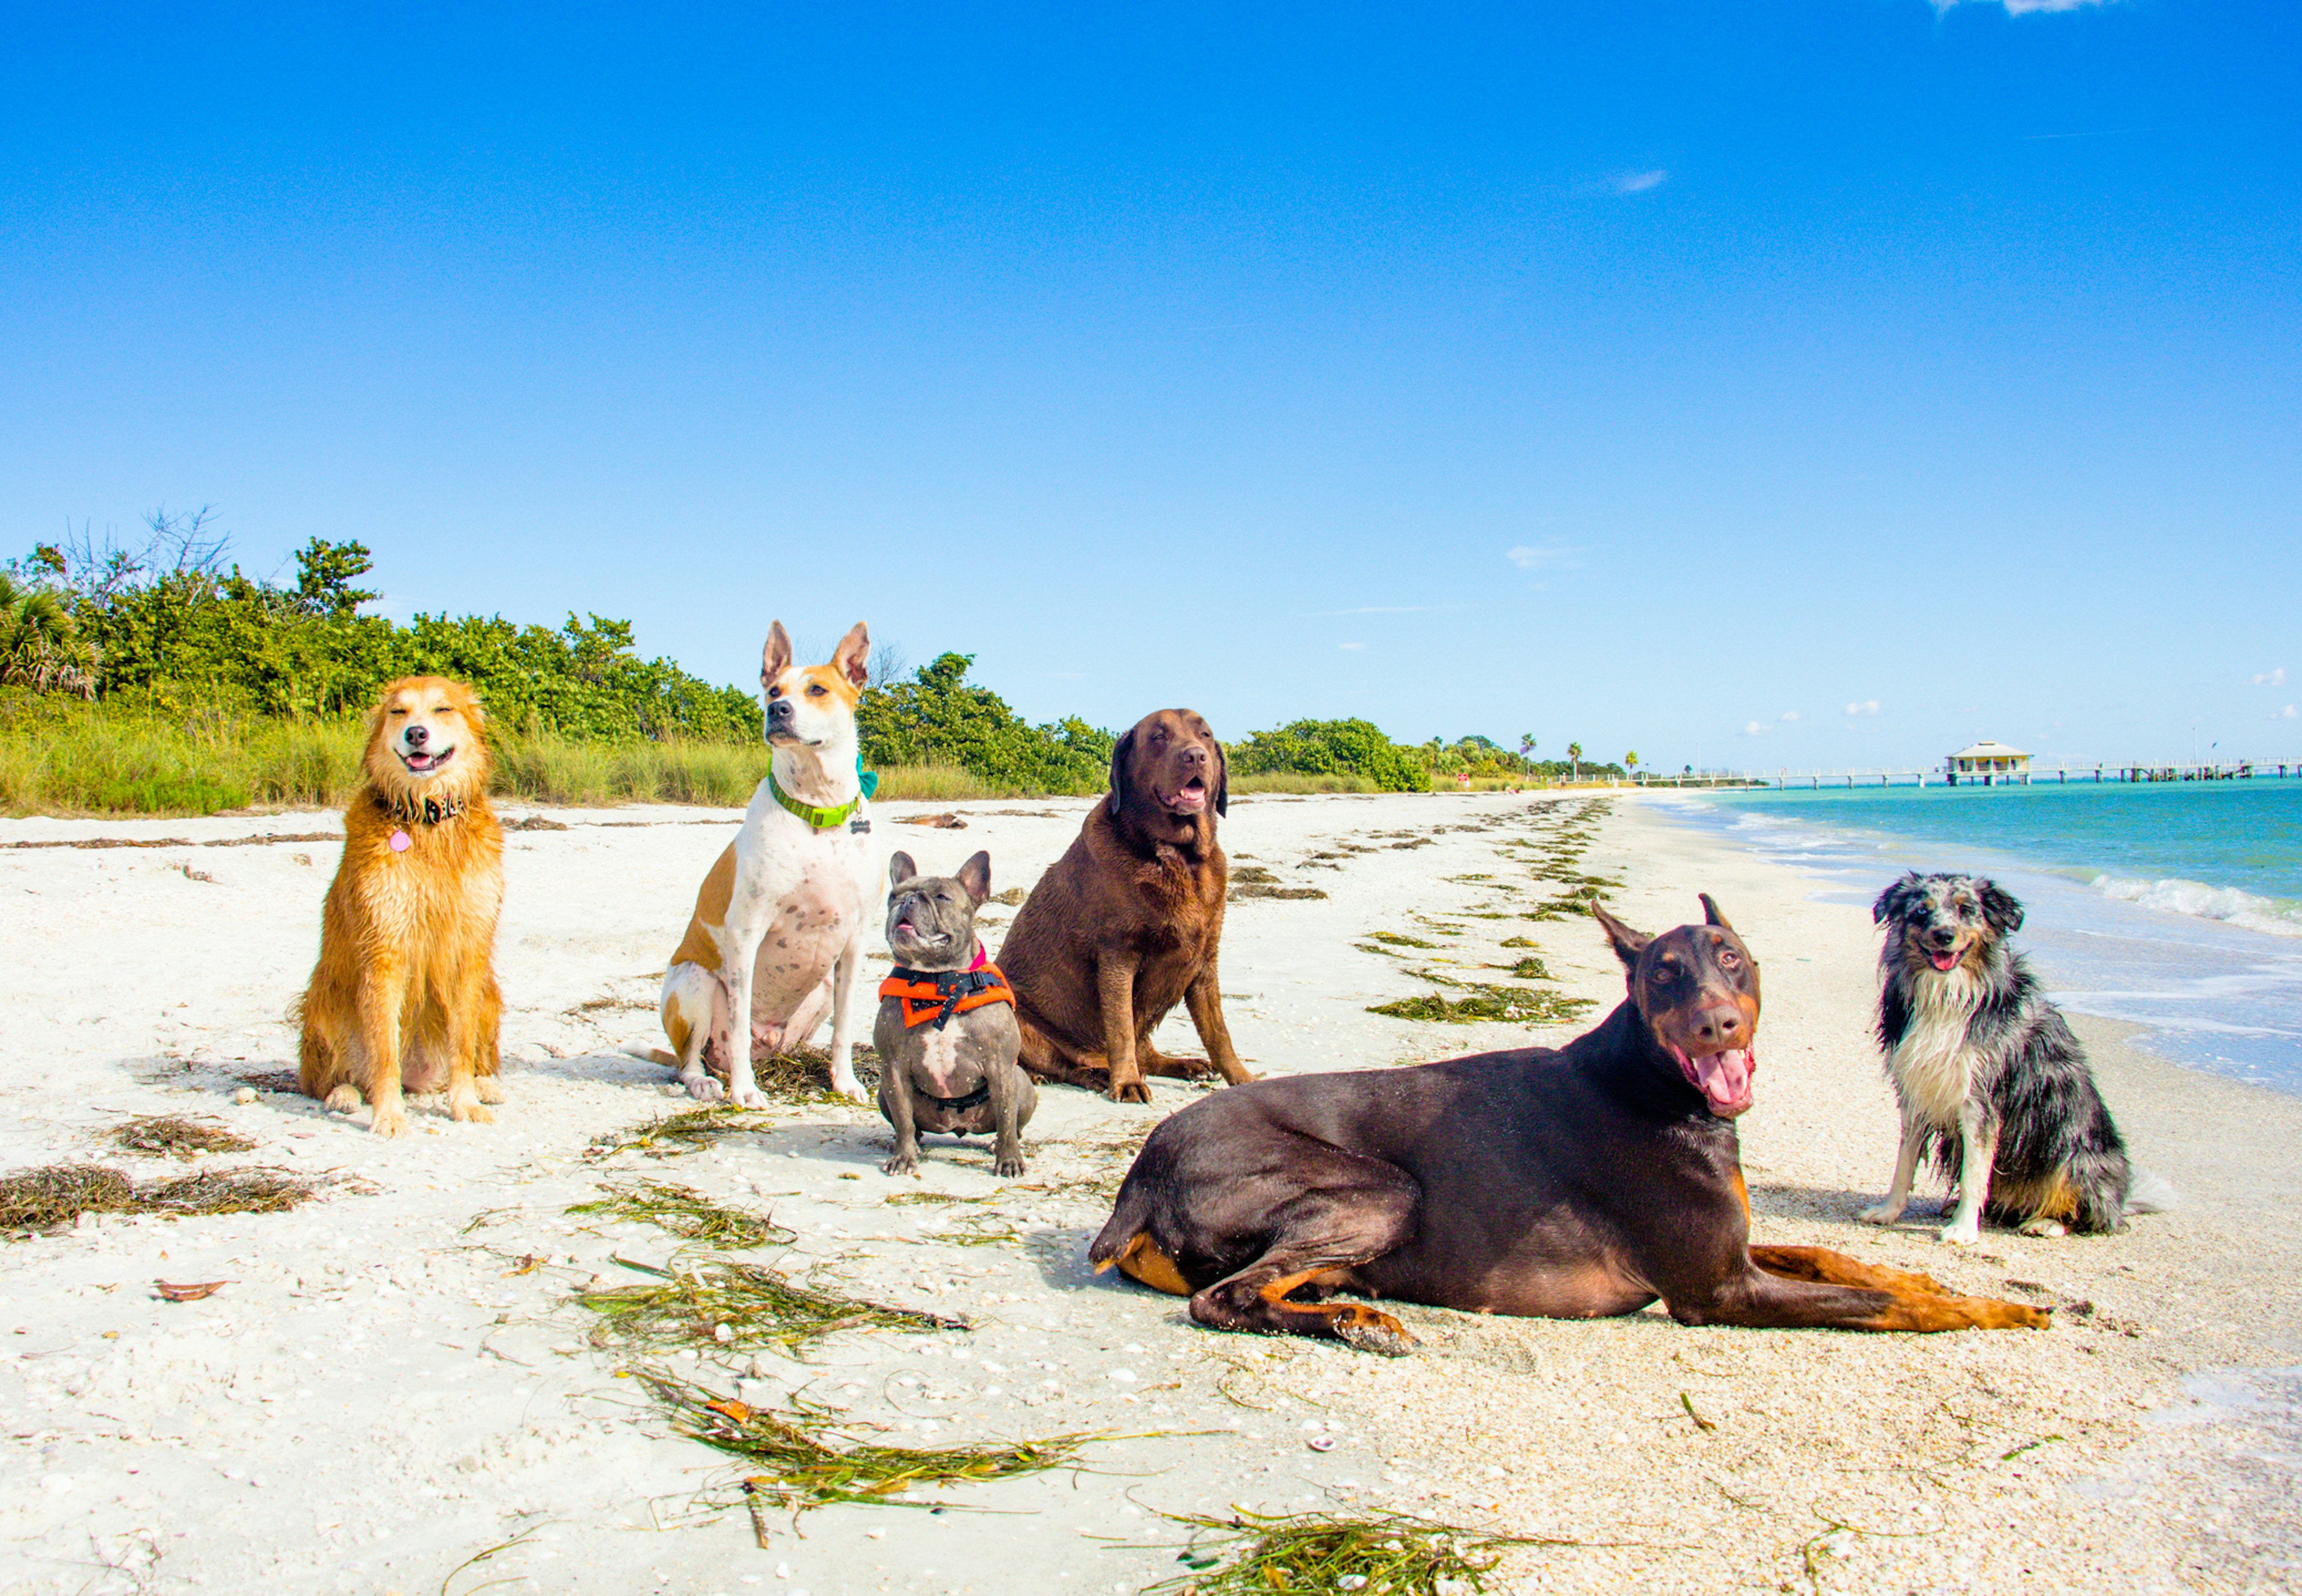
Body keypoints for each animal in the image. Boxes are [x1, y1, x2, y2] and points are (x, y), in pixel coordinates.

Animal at [299, 672, 506, 1133]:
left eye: (443, 709)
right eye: (399, 711)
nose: (416, 733)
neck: (426, 816)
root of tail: (420, 1080)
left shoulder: (469, 949)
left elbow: (462, 1044)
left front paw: (465, 1104)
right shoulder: (384, 948)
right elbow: (384, 1049)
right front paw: (389, 1116)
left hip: (490, 993)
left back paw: (486, 1085)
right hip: (324, 998)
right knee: (326, 1079)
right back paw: (344, 1094)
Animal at [667, 622, 879, 1110]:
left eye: (818, 689)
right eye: (772, 691)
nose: (777, 711)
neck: (817, 809)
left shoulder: (855, 942)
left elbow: (844, 1028)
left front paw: (846, 1081)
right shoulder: (746, 932)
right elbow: (739, 1023)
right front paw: (744, 1091)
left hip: (819, 992)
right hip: (694, 982)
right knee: (692, 1060)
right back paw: (710, 1083)